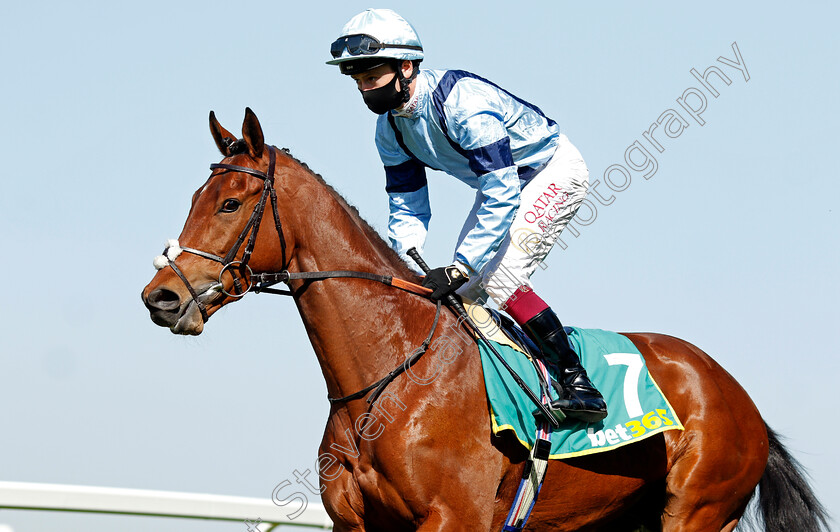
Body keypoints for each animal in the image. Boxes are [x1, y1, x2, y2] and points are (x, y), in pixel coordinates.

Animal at [143, 109, 828, 532]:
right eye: (197, 200)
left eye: (231, 204)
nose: (162, 297)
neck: (387, 381)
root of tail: (735, 394)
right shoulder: (357, 521)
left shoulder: (454, 517)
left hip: (697, 511)